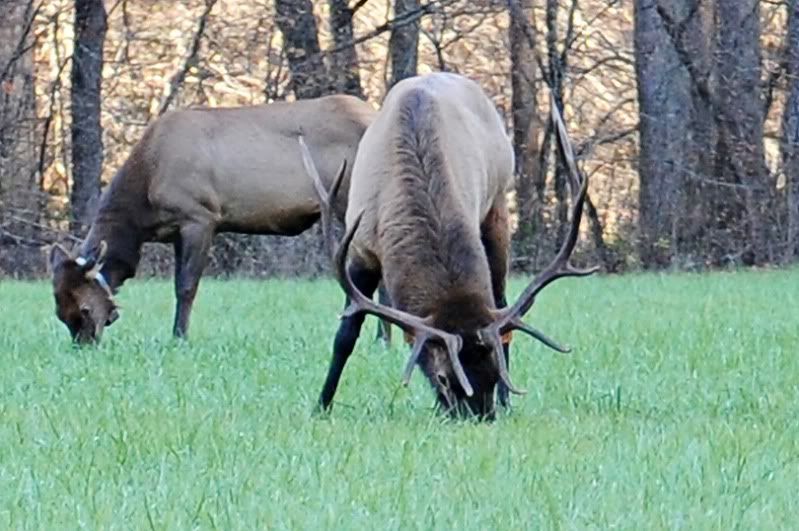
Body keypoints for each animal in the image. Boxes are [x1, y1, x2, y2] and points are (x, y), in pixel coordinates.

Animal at [49, 95, 396, 344]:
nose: (85, 344)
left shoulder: (199, 216)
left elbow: (186, 286)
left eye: (84, 308)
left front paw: (179, 338)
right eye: (60, 313)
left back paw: (381, 339)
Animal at [300, 71, 592, 420]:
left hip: (497, 207)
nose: (481, 417)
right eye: (443, 377)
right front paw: (321, 405)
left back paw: (508, 403)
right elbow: (346, 334)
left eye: (494, 373)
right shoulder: (360, 248)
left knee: (502, 304)